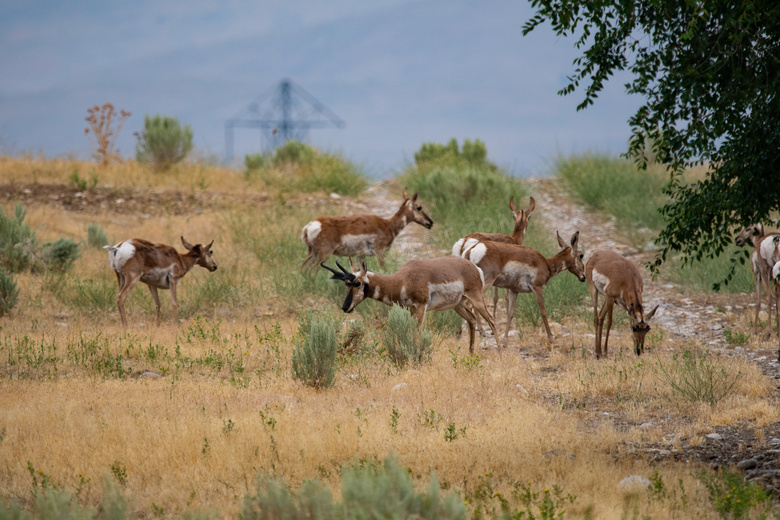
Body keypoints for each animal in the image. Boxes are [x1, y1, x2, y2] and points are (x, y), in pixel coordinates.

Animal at [300, 191, 432, 272]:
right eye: (419, 207)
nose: (430, 222)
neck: (388, 225)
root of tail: (310, 225)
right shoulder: (379, 252)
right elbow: (383, 269)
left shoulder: (360, 255)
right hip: (324, 253)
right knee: (313, 270)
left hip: (312, 252)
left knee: (303, 268)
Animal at [322, 256, 500, 354]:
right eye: (346, 284)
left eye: (357, 283)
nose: (345, 307)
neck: (402, 280)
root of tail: (475, 268)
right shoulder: (409, 310)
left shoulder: (420, 308)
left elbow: (416, 333)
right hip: (459, 305)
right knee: (472, 320)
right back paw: (470, 353)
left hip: (476, 299)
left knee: (491, 320)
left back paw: (500, 353)